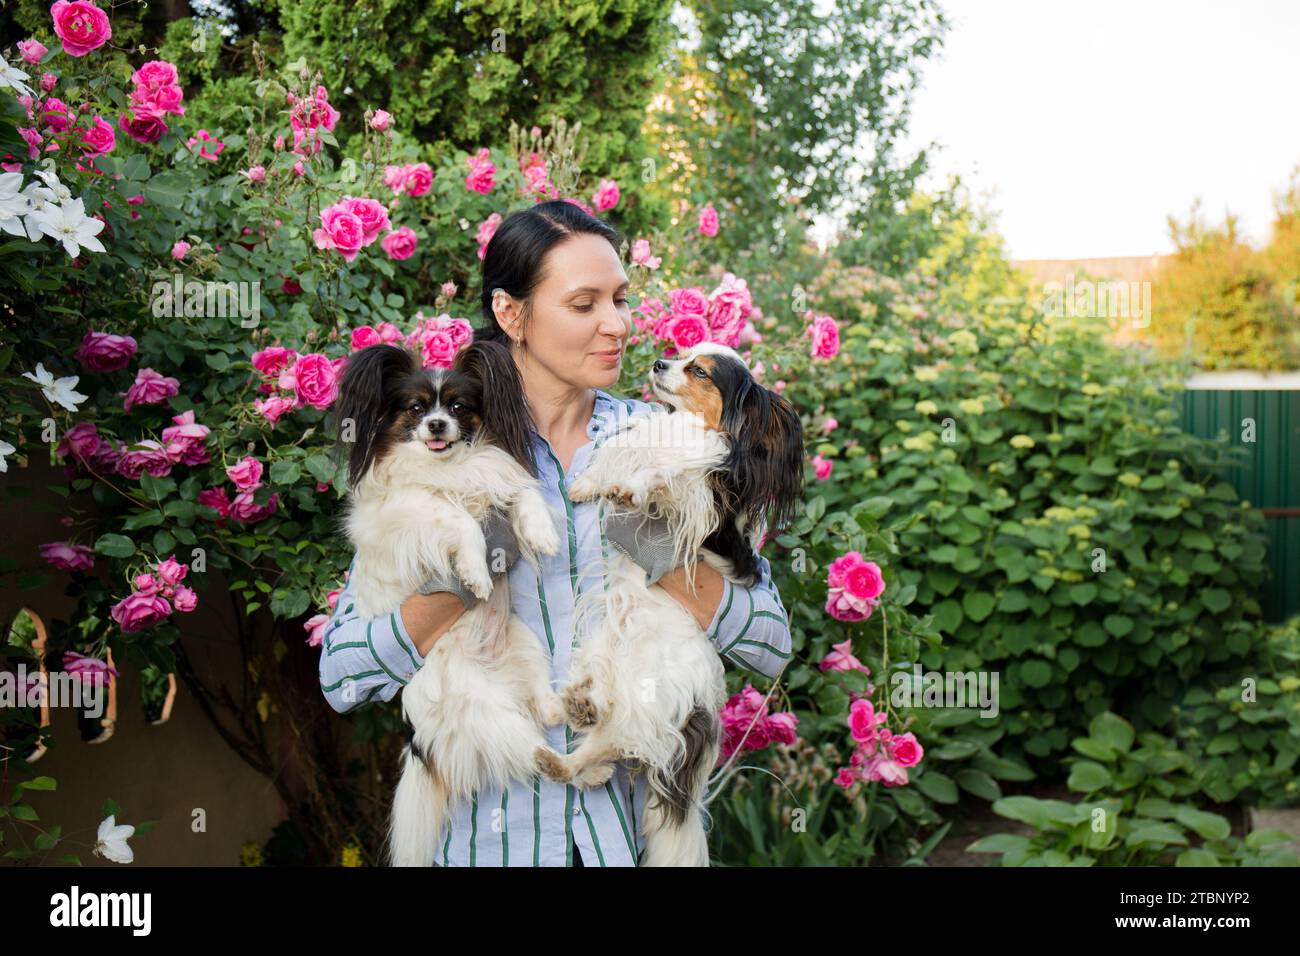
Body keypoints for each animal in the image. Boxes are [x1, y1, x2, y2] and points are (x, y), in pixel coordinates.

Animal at [330, 338, 564, 868]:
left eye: (458, 408)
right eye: (416, 409)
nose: (437, 425)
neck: (450, 467)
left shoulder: (496, 477)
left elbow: (522, 492)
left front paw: (542, 533)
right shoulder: (409, 511)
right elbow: (454, 518)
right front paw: (475, 572)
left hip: (527, 644)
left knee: (542, 706)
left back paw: (567, 707)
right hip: (483, 712)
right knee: (528, 747)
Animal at [530, 343, 800, 868]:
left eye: (699, 372)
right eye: (680, 357)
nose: (659, 362)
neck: (684, 430)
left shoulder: (703, 497)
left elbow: (664, 478)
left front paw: (633, 489)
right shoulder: (639, 441)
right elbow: (620, 452)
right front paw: (589, 485)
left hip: (649, 708)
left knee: (608, 746)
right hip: (599, 659)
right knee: (590, 739)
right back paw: (566, 716)